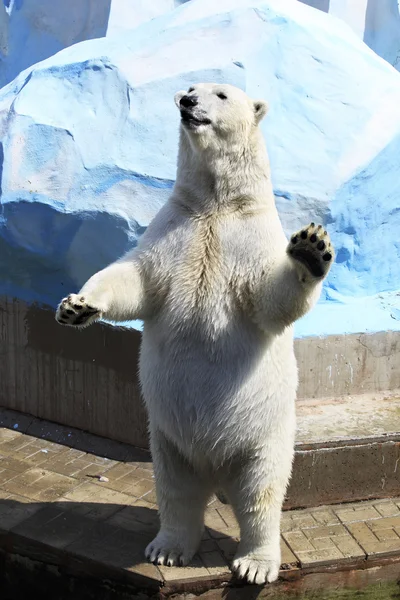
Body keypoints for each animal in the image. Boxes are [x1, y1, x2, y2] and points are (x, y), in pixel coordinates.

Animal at [54, 82, 332, 584]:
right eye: (188, 87)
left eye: (219, 94)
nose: (187, 102)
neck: (217, 204)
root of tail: (216, 473)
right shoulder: (176, 228)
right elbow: (134, 279)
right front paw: (77, 307)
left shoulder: (249, 237)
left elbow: (269, 300)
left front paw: (309, 249)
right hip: (165, 437)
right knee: (176, 490)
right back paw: (168, 548)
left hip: (263, 435)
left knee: (261, 492)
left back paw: (256, 563)